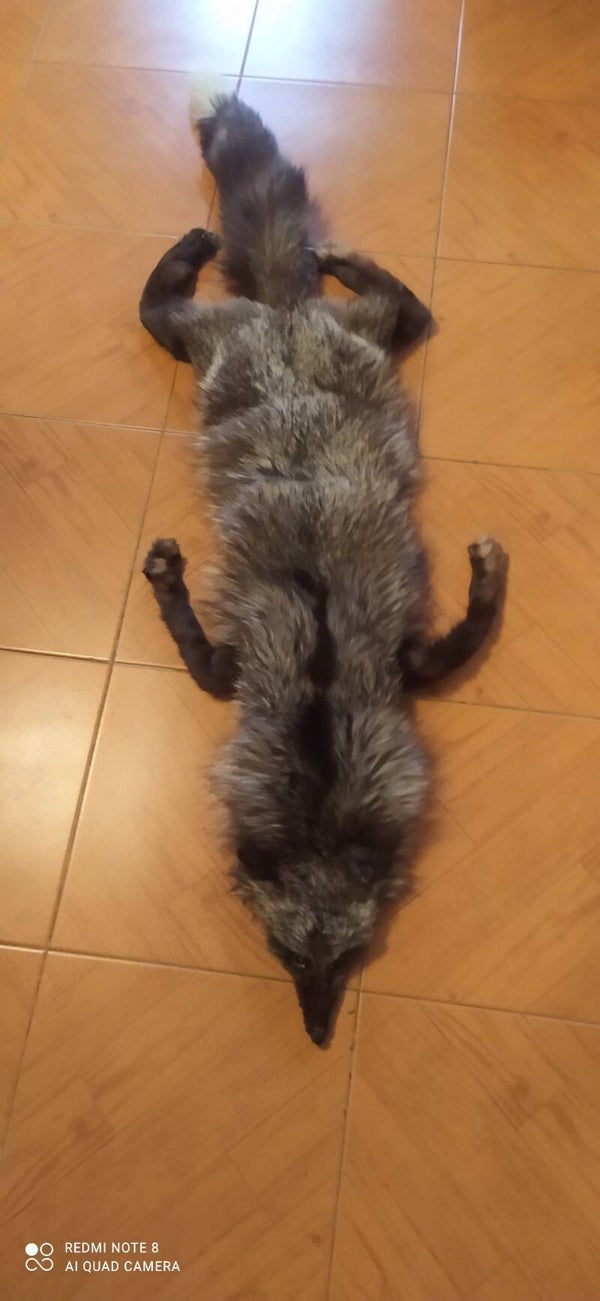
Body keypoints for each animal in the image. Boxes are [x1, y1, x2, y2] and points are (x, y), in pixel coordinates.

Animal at [139, 87, 506, 1045]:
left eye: (346, 958)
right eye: (284, 955)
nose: (316, 1030)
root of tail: (281, 309)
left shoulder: (396, 662)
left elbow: (461, 639)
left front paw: (487, 582)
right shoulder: (247, 669)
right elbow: (196, 650)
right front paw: (167, 582)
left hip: (265, 337)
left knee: (405, 311)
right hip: (206, 341)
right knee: (162, 308)